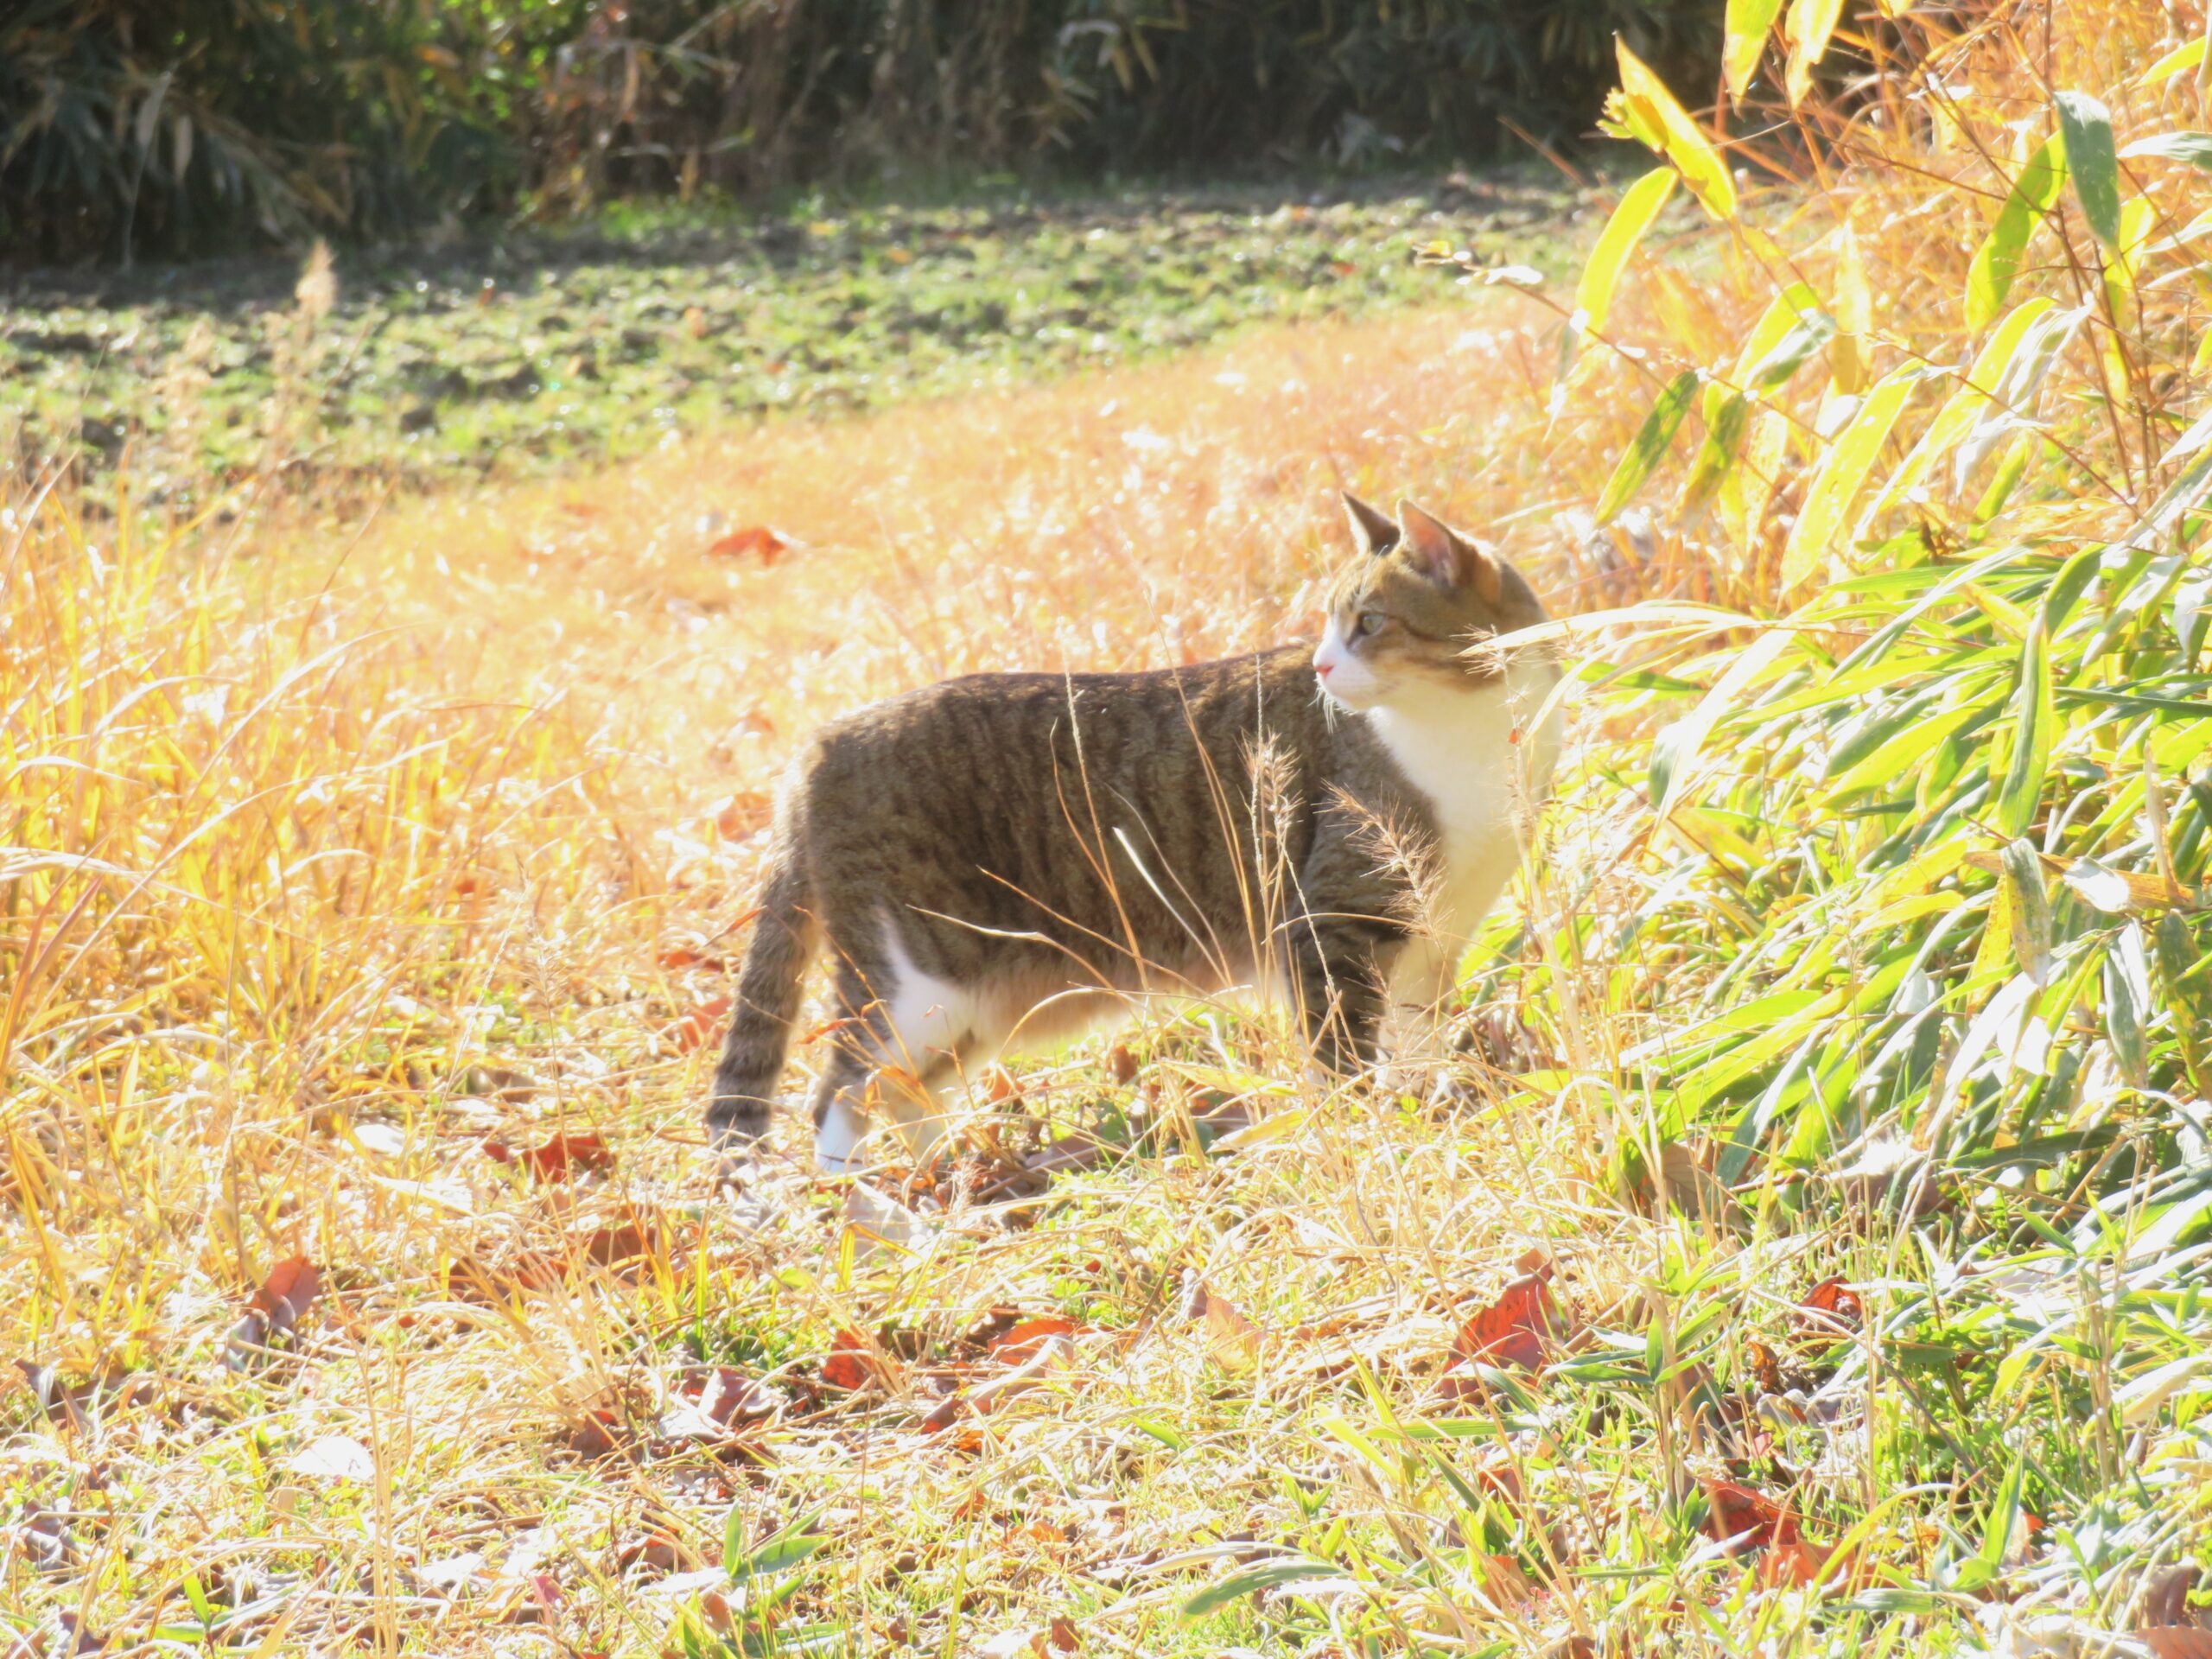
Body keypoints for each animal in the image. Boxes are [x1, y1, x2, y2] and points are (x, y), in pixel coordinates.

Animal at [703, 493, 1557, 1167]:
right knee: (841, 1093)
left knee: (902, 1092)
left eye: (1369, 623)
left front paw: (1431, 1112)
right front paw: (1362, 1131)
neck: (1475, 727)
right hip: (914, 983)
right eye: (1329, 626)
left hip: (965, 1009)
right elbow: (1339, 1050)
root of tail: (822, 742)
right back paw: (874, 1208)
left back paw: (944, 1180)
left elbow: (1419, 1039)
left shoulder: (1433, 939)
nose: (1319, 668)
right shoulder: (1332, 919)